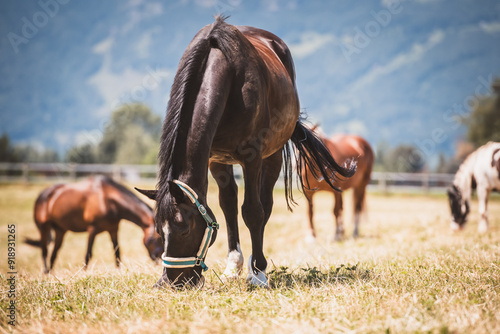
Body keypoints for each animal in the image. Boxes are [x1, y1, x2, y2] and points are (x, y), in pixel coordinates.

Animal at [25, 175, 162, 272]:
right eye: (154, 238)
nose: (158, 258)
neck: (108, 199)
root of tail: (43, 195)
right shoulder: (92, 229)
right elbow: (88, 254)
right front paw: (84, 272)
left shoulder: (113, 229)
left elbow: (117, 252)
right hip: (44, 227)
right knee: (44, 251)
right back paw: (45, 272)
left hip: (60, 230)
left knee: (54, 253)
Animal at [136, 17, 356, 290]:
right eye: (158, 230)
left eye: (184, 228)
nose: (170, 282)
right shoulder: (215, 159)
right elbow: (227, 206)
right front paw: (233, 266)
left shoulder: (253, 157)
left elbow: (253, 211)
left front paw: (258, 273)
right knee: (232, 203)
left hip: (272, 155)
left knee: (265, 205)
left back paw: (256, 265)